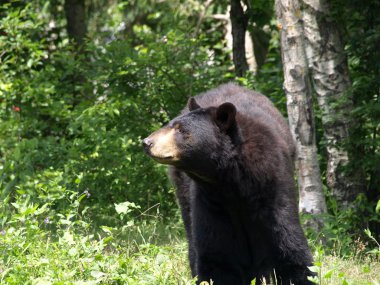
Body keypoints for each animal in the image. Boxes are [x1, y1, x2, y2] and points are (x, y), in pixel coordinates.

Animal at [142, 83, 314, 282]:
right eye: (171, 124)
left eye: (180, 129)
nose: (146, 142)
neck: (230, 180)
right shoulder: (210, 200)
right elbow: (216, 252)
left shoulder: (272, 183)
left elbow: (288, 238)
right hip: (183, 190)